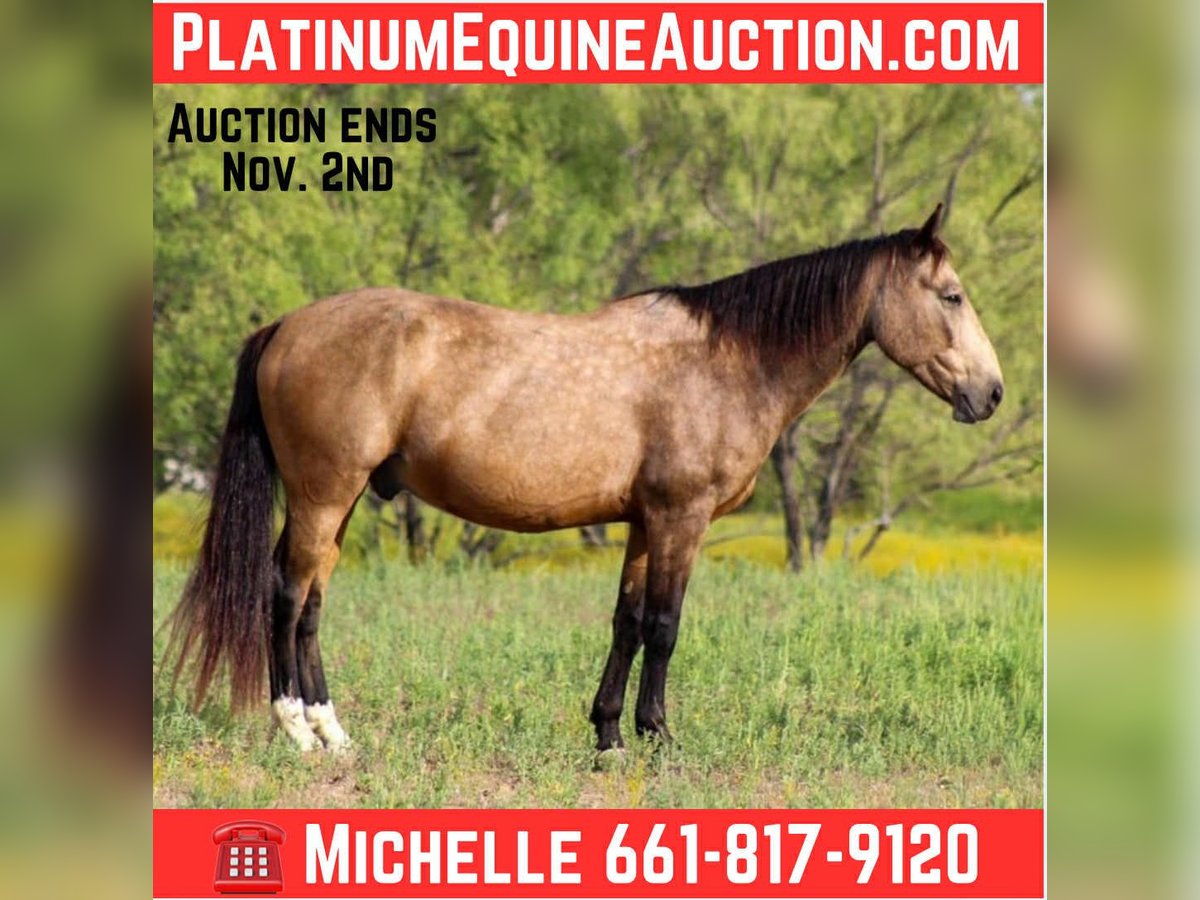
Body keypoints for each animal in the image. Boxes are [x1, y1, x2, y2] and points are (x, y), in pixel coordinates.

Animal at [167, 204, 1003, 754]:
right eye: (952, 296)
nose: (990, 394)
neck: (728, 360)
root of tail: (286, 325)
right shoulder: (680, 517)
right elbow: (665, 626)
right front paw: (659, 736)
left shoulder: (643, 521)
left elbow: (627, 622)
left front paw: (608, 734)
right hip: (323, 493)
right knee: (284, 593)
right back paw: (297, 730)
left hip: (337, 502)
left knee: (311, 600)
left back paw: (334, 731)